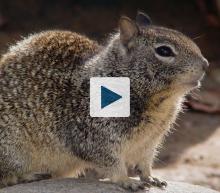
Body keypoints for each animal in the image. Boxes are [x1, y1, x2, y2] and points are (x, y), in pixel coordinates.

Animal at [0, 11, 208, 190]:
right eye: (164, 51)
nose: (205, 64)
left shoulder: (149, 142)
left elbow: (145, 163)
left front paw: (151, 178)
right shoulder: (95, 138)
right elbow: (113, 164)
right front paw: (127, 181)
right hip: (13, 149)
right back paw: (29, 175)